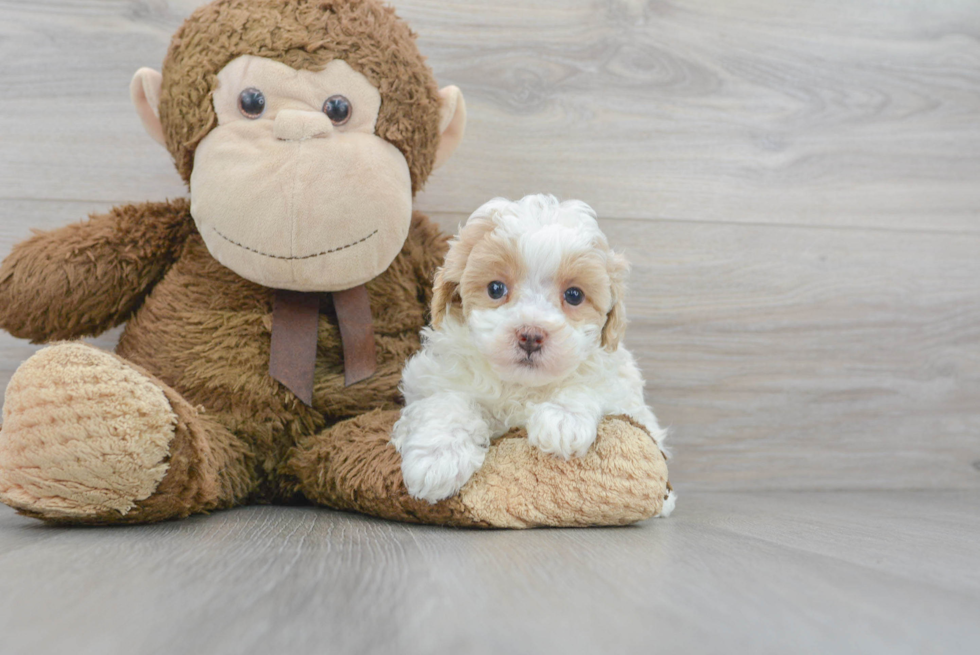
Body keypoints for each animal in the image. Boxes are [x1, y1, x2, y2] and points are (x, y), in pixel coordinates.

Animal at [390, 195, 672, 512]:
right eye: (496, 288)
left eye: (574, 295)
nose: (531, 336)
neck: (520, 386)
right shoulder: (433, 376)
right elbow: (446, 402)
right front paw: (438, 457)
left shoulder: (620, 384)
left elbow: (590, 384)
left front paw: (563, 420)